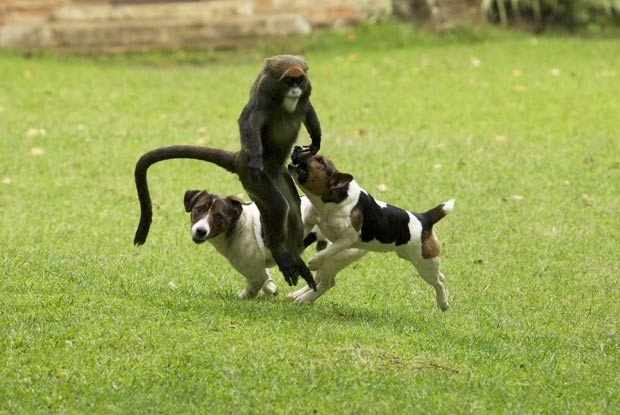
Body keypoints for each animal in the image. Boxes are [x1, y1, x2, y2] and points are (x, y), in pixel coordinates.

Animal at [133, 54, 322, 290]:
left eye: (299, 80)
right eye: (289, 81)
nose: (295, 90)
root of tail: (239, 158)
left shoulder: (306, 92)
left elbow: (307, 108)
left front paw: (315, 142)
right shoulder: (264, 94)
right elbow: (249, 119)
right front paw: (256, 160)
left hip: (278, 175)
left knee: (293, 207)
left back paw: (293, 257)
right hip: (255, 180)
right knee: (278, 206)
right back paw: (279, 251)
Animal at [182, 188, 326, 300]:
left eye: (219, 216)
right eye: (199, 209)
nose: (200, 231)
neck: (237, 225)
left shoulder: (255, 275)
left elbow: (253, 288)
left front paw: (243, 297)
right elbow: (267, 278)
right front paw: (271, 288)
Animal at [288, 154, 452, 312]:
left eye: (320, 161)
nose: (298, 150)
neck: (332, 200)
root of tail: (424, 218)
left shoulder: (348, 238)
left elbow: (328, 251)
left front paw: (314, 262)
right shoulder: (308, 223)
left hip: (425, 264)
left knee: (439, 280)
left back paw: (443, 303)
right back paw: (299, 296)